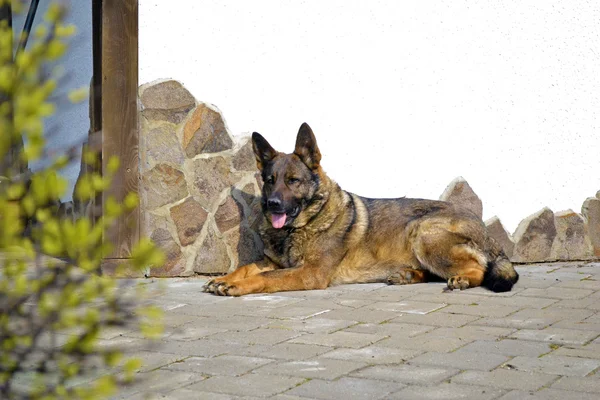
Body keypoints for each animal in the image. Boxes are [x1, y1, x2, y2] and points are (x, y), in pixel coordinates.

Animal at [204, 123, 516, 296]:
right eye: (270, 181)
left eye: (293, 181)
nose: (273, 205)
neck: (302, 225)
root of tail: (487, 232)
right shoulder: (279, 263)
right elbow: (246, 267)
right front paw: (222, 279)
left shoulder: (309, 273)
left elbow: (263, 277)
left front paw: (236, 286)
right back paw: (407, 275)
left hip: (423, 232)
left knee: (478, 267)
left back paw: (461, 279)